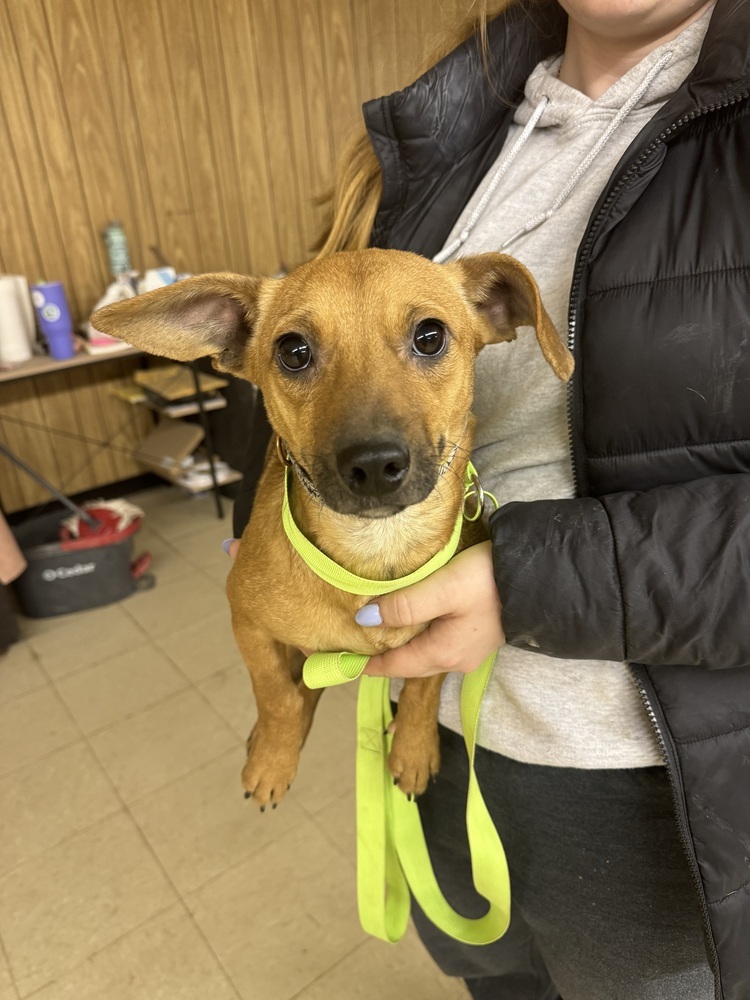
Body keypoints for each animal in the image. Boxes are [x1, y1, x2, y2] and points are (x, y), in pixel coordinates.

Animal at [94, 250, 576, 812]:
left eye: (430, 336)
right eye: (293, 351)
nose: (374, 464)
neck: (373, 558)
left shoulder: (450, 631)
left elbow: (423, 687)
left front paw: (413, 748)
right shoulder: (246, 621)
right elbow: (275, 695)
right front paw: (273, 758)